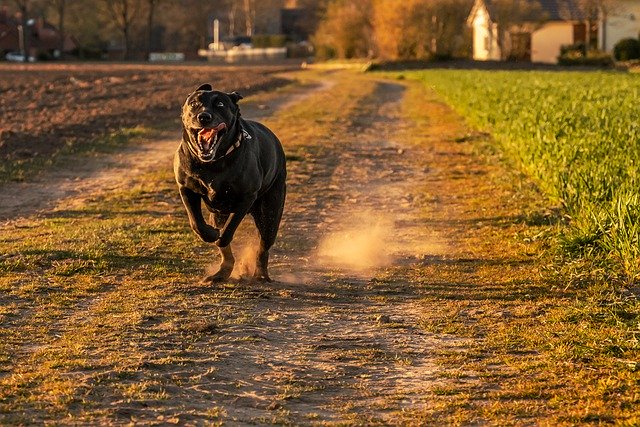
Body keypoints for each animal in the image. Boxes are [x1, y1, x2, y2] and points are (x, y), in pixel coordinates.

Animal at [174, 84, 286, 284]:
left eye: (220, 104)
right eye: (194, 104)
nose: (204, 117)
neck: (213, 163)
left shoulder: (246, 197)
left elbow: (229, 230)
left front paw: (219, 237)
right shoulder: (186, 188)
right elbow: (196, 222)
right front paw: (210, 234)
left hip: (270, 212)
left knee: (263, 246)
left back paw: (260, 274)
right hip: (218, 214)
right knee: (227, 253)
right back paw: (220, 274)